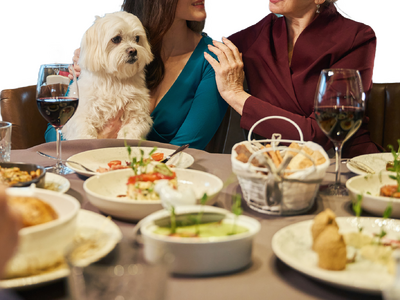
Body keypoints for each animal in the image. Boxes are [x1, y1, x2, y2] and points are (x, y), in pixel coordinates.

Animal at [62, 10, 153, 139]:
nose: (133, 51)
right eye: (116, 39)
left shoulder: (138, 115)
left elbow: (131, 131)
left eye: (137, 38)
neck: (115, 80)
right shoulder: (80, 115)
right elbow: (84, 131)